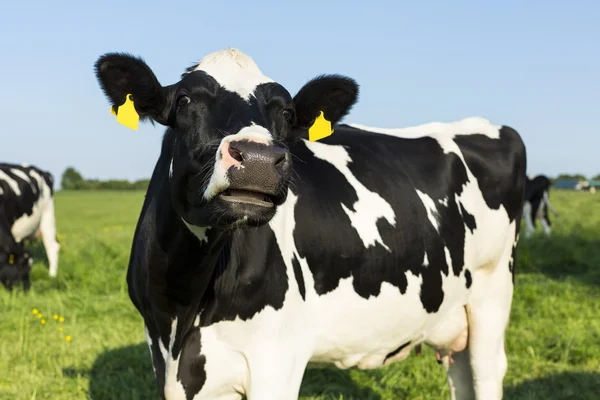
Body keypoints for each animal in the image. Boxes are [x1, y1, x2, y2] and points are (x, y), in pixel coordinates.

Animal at [94, 47, 524, 400]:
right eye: (185, 100)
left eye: (286, 113)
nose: (258, 158)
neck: (184, 307)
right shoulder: (167, 360)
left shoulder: (276, 357)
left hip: (493, 290)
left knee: (487, 372)